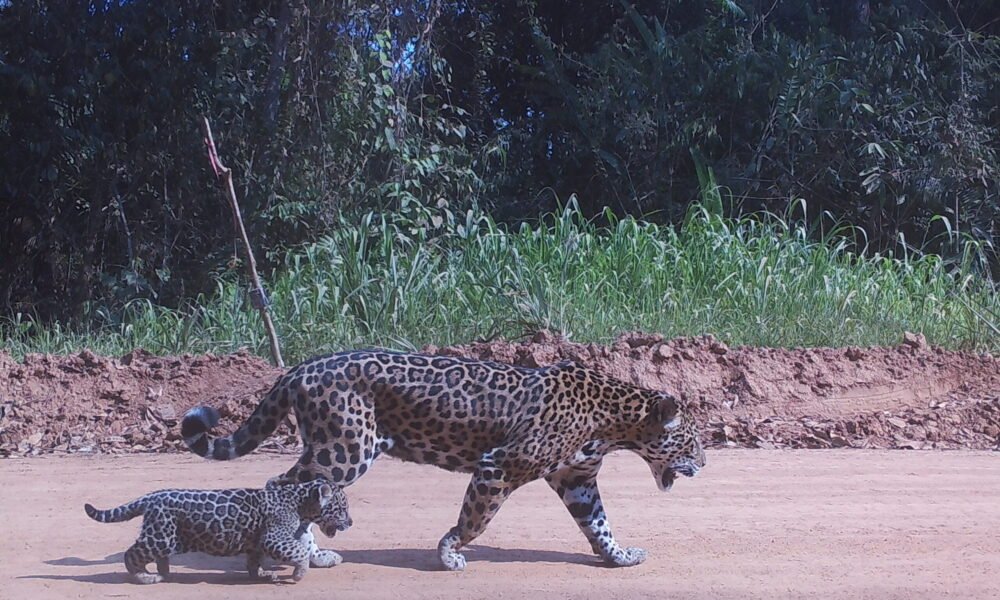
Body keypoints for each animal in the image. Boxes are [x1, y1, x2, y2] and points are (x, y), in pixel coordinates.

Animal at [84, 479, 351, 584]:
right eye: (342, 508)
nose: (350, 522)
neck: (299, 501)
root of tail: (152, 496)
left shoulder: (257, 542)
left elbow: (254, 561)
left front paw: (262, 574)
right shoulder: (275, 538)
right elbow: (299, 552)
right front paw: (299, 573)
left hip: (164, 535)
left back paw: (164, 571)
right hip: (159, 536)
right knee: (131, 553)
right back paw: (145, 577)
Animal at [181, 350, 706, 571]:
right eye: (692, 441)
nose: (705, 464)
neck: (616, 420)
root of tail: (300, 368)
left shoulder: (576, 478)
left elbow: (598, 523)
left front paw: (619, 557)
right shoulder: (498, 466)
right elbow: (475, 519)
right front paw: (449, 553)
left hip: (336, 449)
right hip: (344, 450)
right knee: (282, 485)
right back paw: (304, 553)